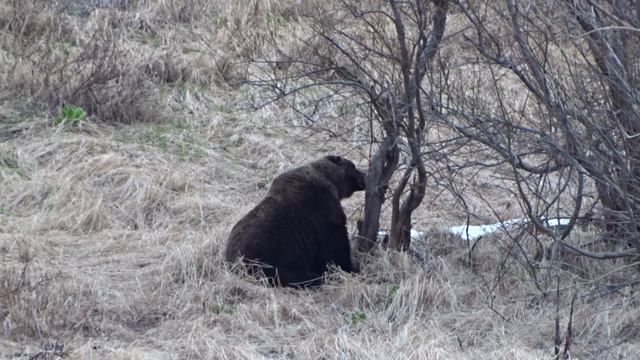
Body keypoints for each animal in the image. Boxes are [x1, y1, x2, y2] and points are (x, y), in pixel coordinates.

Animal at [224, 155, 364, 286]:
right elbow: (335, 246)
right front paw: (351, 268)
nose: (364, 176)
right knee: (290, 276)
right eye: (353, 166)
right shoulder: (323, 211)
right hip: (266, 256)